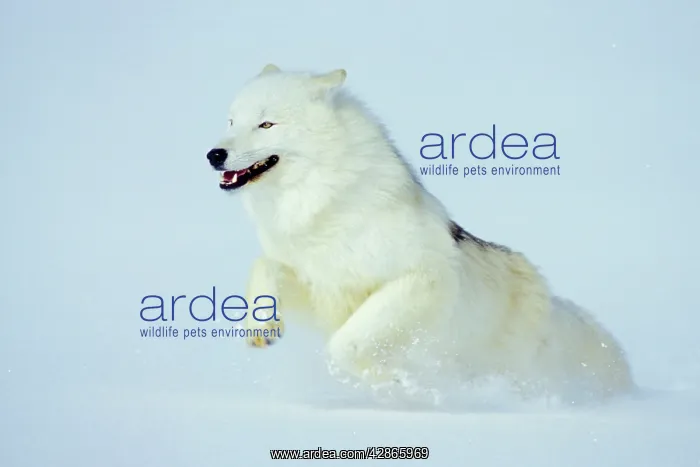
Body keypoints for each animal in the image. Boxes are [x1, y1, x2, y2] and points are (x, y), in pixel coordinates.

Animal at [205, 64, 633, 399]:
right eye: (231, 121)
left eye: (266, 123)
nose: (214, 154)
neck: (325, 203)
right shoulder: (322, 289)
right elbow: (263, 267)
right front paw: (262, 325)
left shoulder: (422, 278)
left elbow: (345, 346)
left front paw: (397, 384)